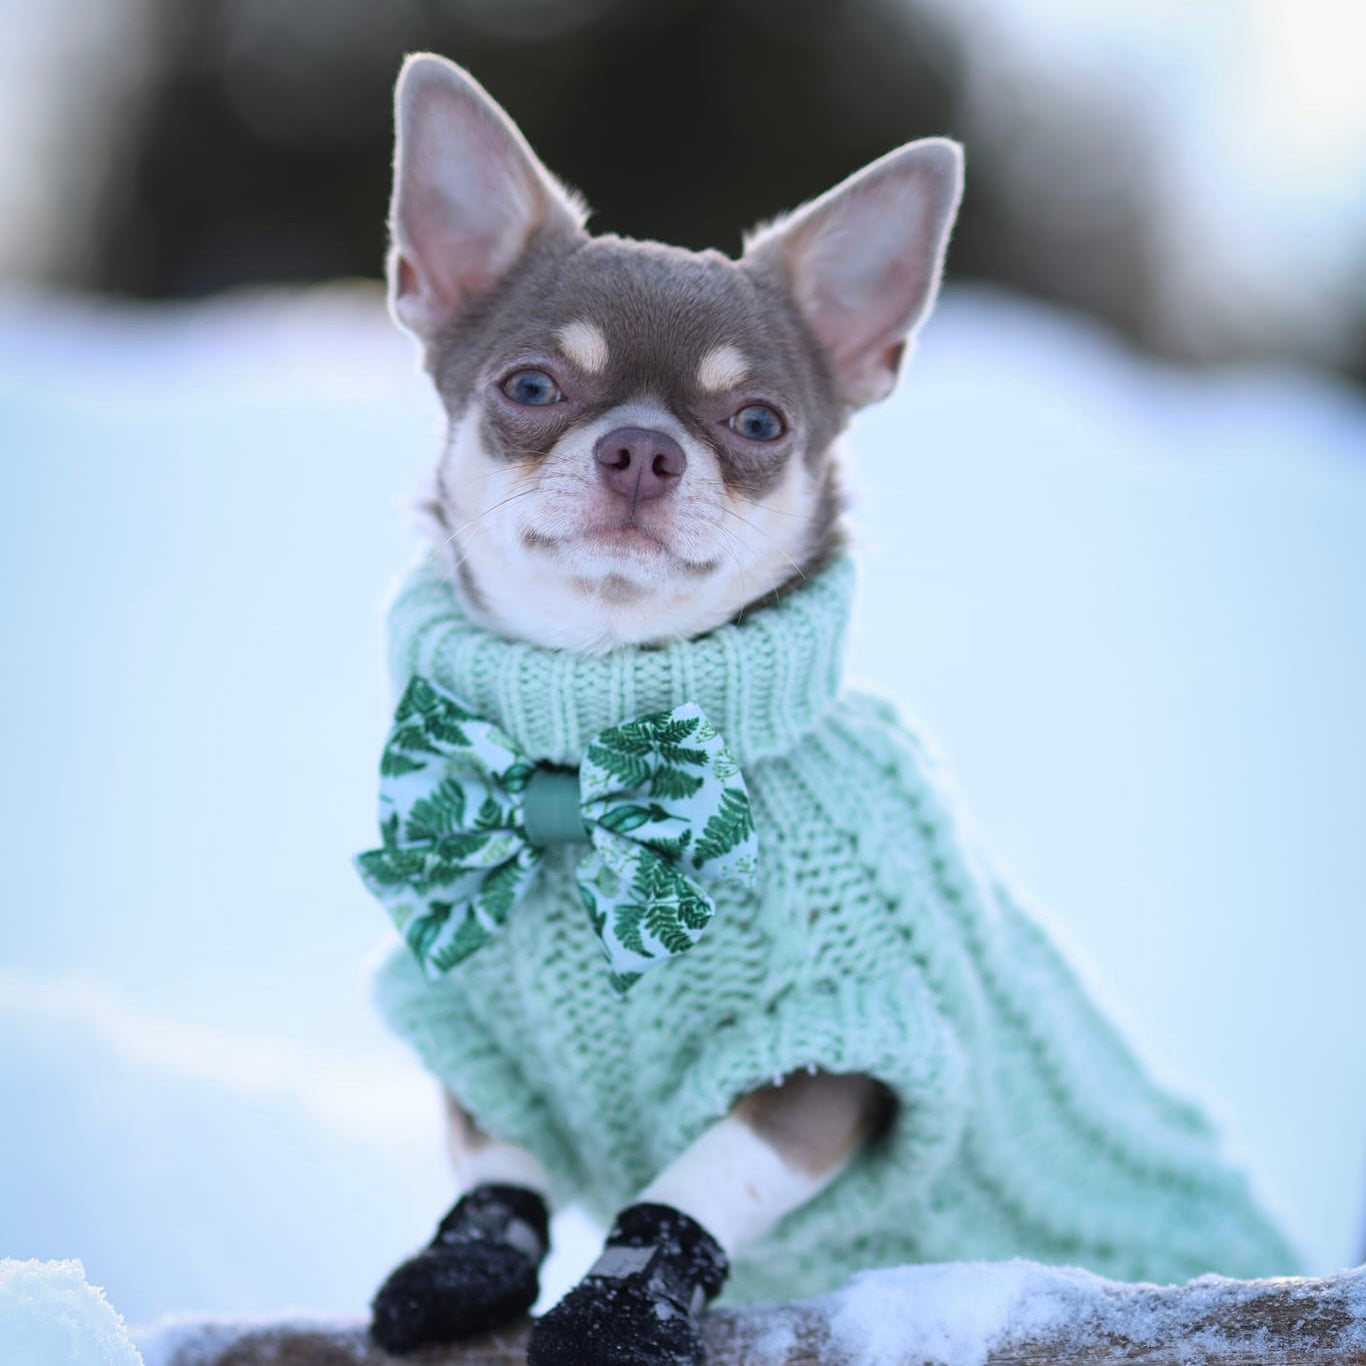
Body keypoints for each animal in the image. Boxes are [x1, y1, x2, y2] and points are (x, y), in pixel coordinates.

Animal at [357, 48, 1294, 1366]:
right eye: (531, 386)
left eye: (757, 422)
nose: (641, 448)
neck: (588, 758)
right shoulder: (475, 1031)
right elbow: (500, 1160)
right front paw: (466, 1260)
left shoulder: (844, 1047)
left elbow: (710, 1167)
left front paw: (622, 1300)